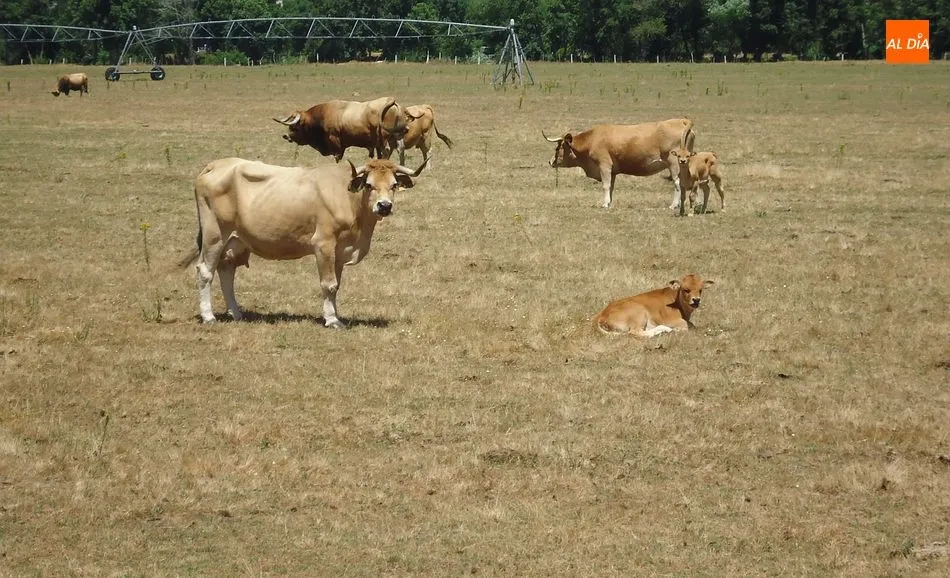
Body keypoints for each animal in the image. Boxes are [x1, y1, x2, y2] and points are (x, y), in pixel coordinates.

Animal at [178, 157, 428, 327]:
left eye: (394, 185)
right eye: (369, 184)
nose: (384, 206)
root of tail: (216, 165)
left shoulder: (339, 251)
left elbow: (336, 285)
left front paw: (334, 313)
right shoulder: (323, 244)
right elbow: (329, 284)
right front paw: (332, 320)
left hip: (234, 240)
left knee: (226, 271)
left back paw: (236, 313)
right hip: (215, 235)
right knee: (205, 271)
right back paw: (208, 316)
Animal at [273, 97, 409, 162]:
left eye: (294, 126)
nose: (286, 136)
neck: (323, 115)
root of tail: (391, 101)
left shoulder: (335, 142)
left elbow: (337, 157)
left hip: (385, 137)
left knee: (387, 151)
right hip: (395, 136)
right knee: (400, 149)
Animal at [543, 118, 695, 209]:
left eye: (557, 148)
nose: (550, 161)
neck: (591, 140)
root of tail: (681, 121)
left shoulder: (604, 166)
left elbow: (605, 185)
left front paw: (605, 204)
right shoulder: (613, 171)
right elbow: (611, 187)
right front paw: (609, 202)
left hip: (674, 164)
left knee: (677, 183)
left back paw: (674, 205)